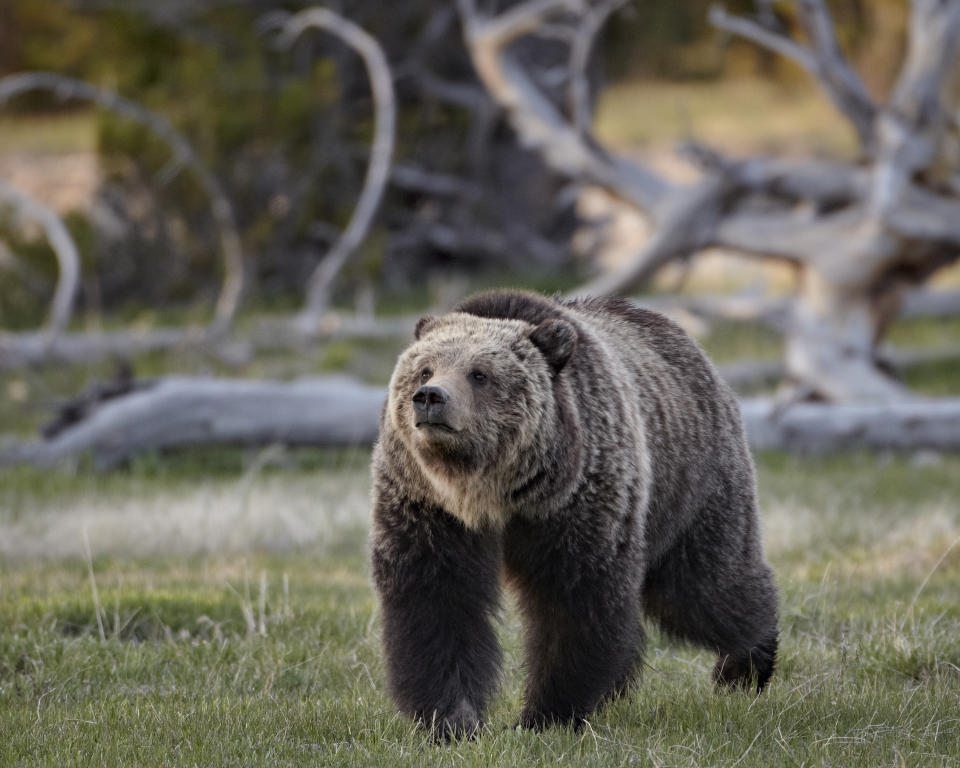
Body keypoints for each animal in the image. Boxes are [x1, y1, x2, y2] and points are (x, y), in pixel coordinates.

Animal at [368, 292, 780, 736]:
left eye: (479, 374)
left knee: (704, 587)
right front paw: (450, 719)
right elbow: (437, 599)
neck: (489, 493)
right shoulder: (428, 508)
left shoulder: (575, 502)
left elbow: (574, 600)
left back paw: (744, 665)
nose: (430, 396)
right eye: (425, 368)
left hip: (690, 485)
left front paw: (545, 715)